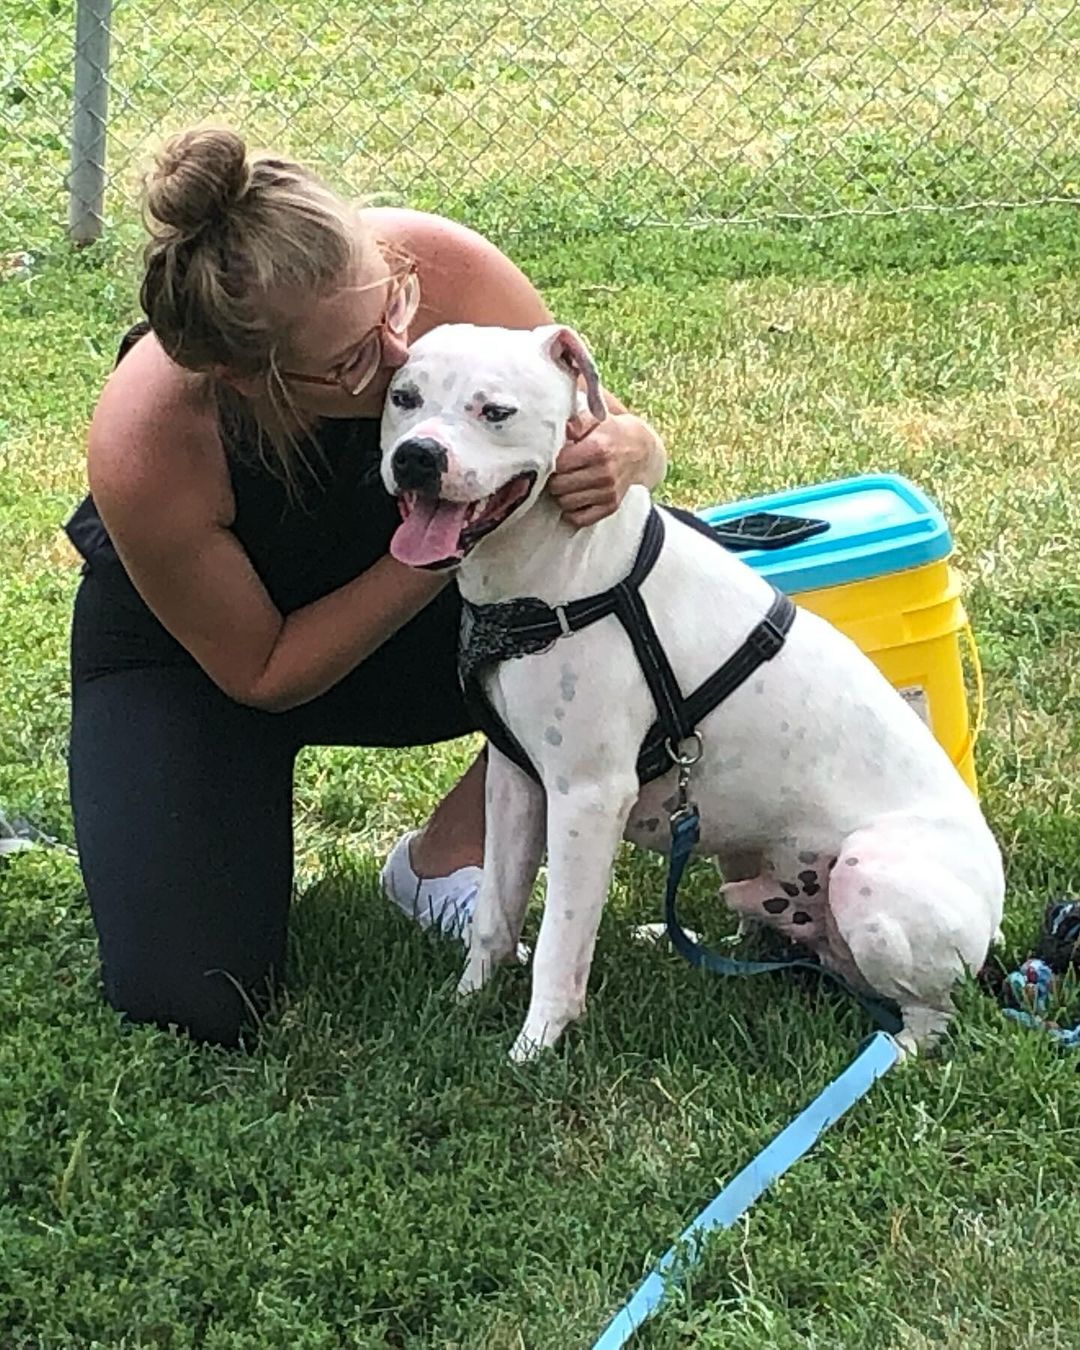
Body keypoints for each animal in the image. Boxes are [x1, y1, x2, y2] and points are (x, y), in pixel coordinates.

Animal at [378, 321, 1004, 1058]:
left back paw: (891, 1054)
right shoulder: (514, 781)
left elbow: (561, 941)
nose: (417, 457)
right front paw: (463, 1006)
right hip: (749, 862)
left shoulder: (587, 798)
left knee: (934, 1012)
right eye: (403, 398)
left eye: (495, 411)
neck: (555, 578)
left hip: (870, 875)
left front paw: (533, 1048)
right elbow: (495, 916)